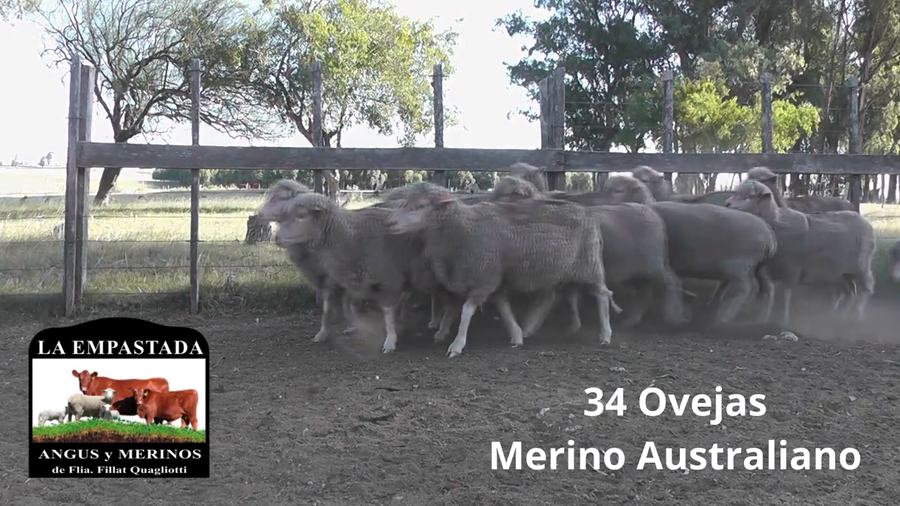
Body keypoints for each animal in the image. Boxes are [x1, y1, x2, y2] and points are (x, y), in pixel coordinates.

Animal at [267, 190, 418, 354]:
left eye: (302, 215)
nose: (276, 238)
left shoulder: (387, 279)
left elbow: (387, 311)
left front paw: (390, 341)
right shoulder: (338, 280)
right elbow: (330, 309)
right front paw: (324, 333)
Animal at [385, 181, 615, 358]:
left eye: (421, 205)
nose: (390, 223)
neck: (461, 229)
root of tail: (587, 213)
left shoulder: (484, 277)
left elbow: (467, 311)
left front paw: (457, 345)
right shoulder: (492, 278)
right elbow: (503, 307)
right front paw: (517, 335)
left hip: (589, 266)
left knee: (602, 295)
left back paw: (605, 335)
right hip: (556, 270)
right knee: (549, 297)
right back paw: (531, 328)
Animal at [488, 175, 688, 331]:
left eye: (506, 193)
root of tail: (654, 214)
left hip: (652, 264)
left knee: (672, 281)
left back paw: (674, 317)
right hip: (637, 269)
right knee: (646, 292)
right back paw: (632, 320)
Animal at [599, 175, 778, 323]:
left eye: (618, 191)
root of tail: (769, 234)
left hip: (741, 266)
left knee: (743, 289)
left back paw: (723, 317)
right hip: (758, 267)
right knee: (767, 288)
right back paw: (761, 318)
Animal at [725, 180, 876, 324]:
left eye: (746, 196)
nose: (726, 204)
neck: (774, 223)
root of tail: (865, 222)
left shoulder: (792, 269)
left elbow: (786, 294)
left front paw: (783, 320)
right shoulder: (766, 271)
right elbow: (769, 295)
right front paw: (763, 318)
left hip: (862, 265)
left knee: (866, 289)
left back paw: (857, 315)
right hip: (843, 272)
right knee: (850, 291)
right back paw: (838, 316)